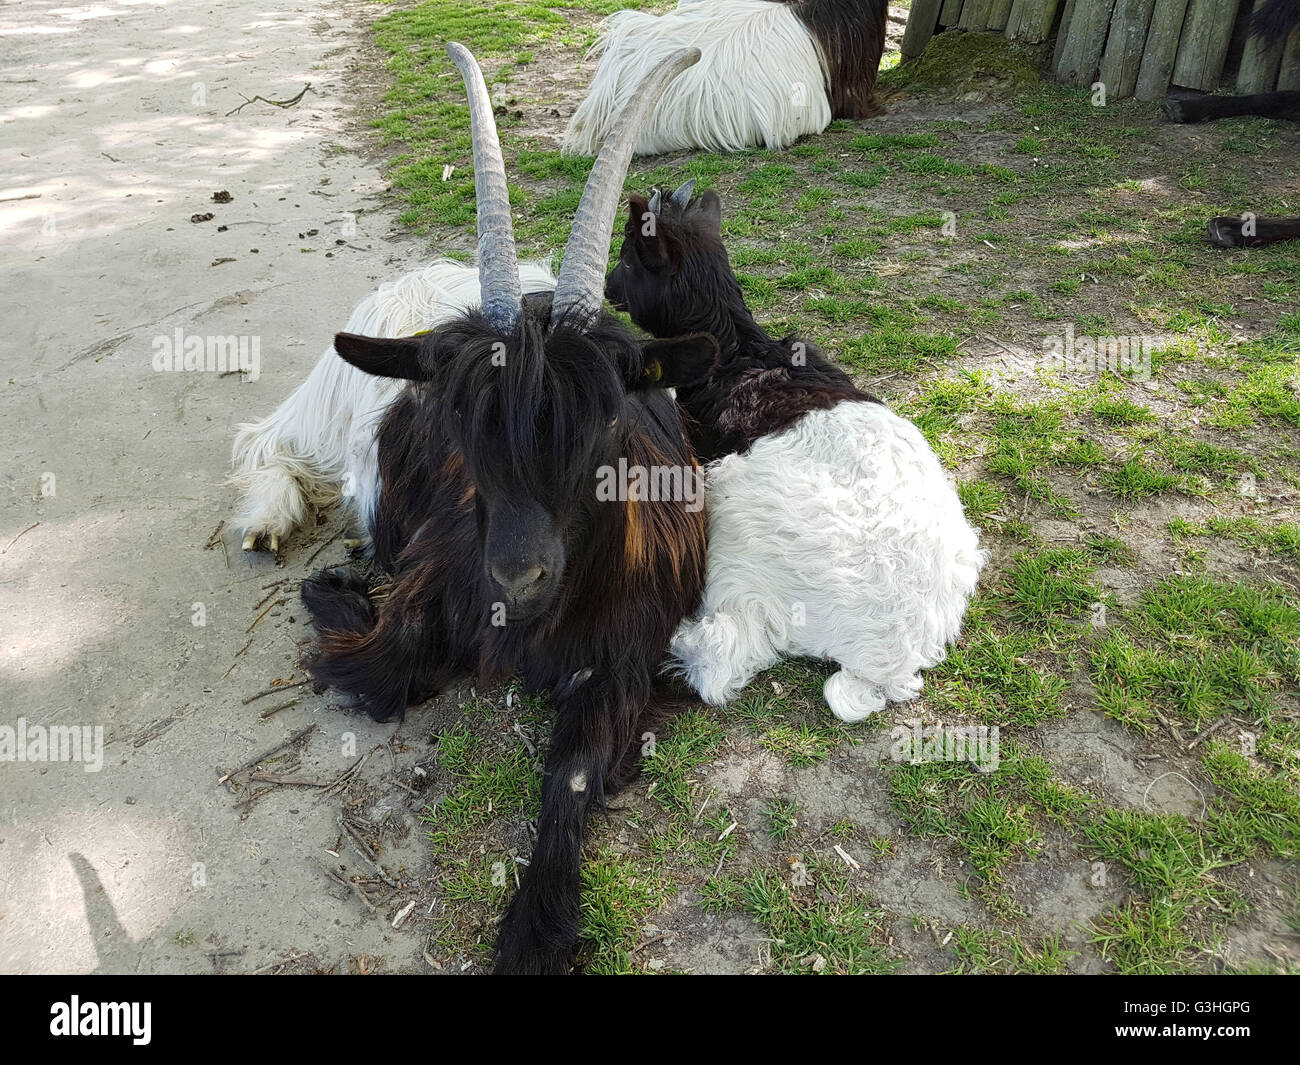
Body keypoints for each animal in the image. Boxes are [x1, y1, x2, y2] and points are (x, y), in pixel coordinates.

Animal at [299, 44, 713, 975]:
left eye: (607, 423)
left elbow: (571, 776)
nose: (517, 577)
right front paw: (335, 590)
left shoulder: (629, 654)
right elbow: (381, 665)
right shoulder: (440, 565)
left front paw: (533, 930)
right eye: (465, 423)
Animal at [605, 180, 986, 723]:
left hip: (735, 537)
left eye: (629, 257)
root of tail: (884, 661)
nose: (608, 287)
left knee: (722, 659)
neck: (740, 350)